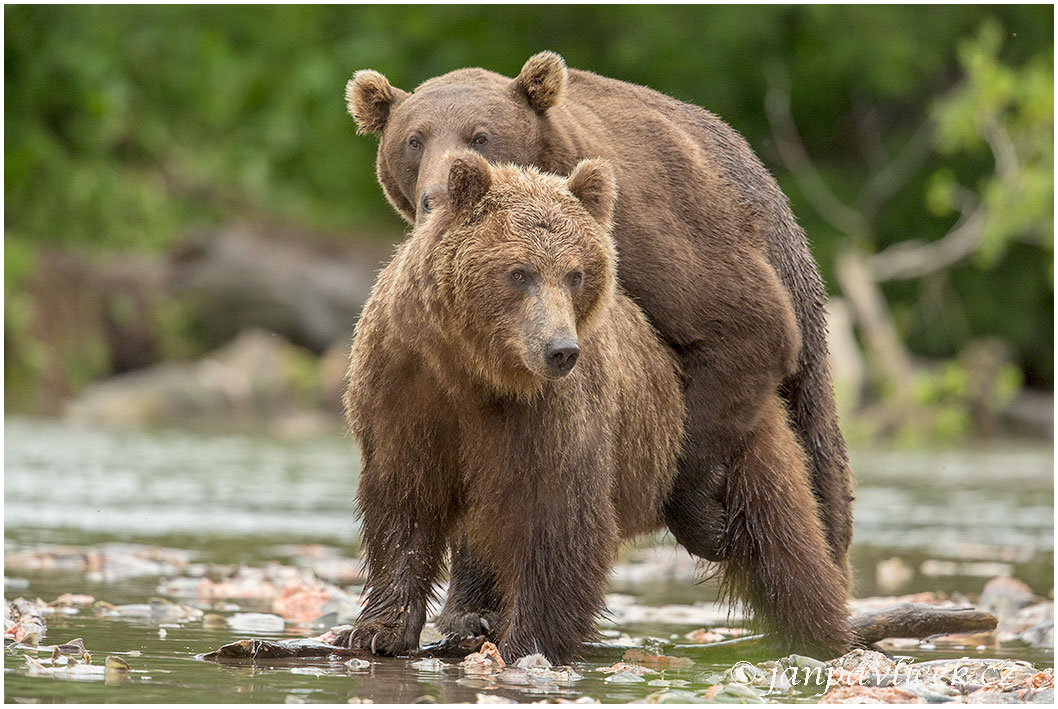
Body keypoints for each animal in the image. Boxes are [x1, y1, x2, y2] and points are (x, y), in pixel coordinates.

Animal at [340, 152, 685, 664]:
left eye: (575, 274)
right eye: (519, 272)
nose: (561, 350)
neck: (474, 369)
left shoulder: (550, 416)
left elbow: (558, 518)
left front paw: (527, 643)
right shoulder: (404, 390)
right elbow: (405, 504)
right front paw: (377, 630)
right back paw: (471, 618)